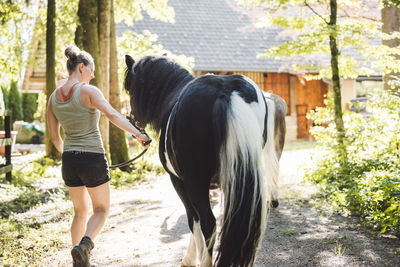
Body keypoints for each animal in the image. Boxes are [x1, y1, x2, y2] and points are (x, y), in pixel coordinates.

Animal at [124, 55, 284, 266]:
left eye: (128, 87)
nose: (132, 121)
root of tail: (226, 93)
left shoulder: (180, 181)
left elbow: (194, 220)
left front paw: (191, 258)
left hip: (195, 182)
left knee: (209, 222)